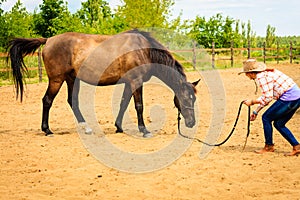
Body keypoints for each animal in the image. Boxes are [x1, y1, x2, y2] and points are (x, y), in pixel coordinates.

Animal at [7, 29, 199, 138]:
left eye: (194, 99)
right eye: (186, 98)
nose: (191, 123)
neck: (143, 50)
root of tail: (48, 40)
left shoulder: (128, 83)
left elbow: (123, 103)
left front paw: (119, 127)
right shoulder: (136, 82)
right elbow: (139, 106)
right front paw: (144, 130)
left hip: (71, 79)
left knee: (72, 102)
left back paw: (86, 128)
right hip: (57, 80)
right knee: (47, 101)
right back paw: (47, 130)